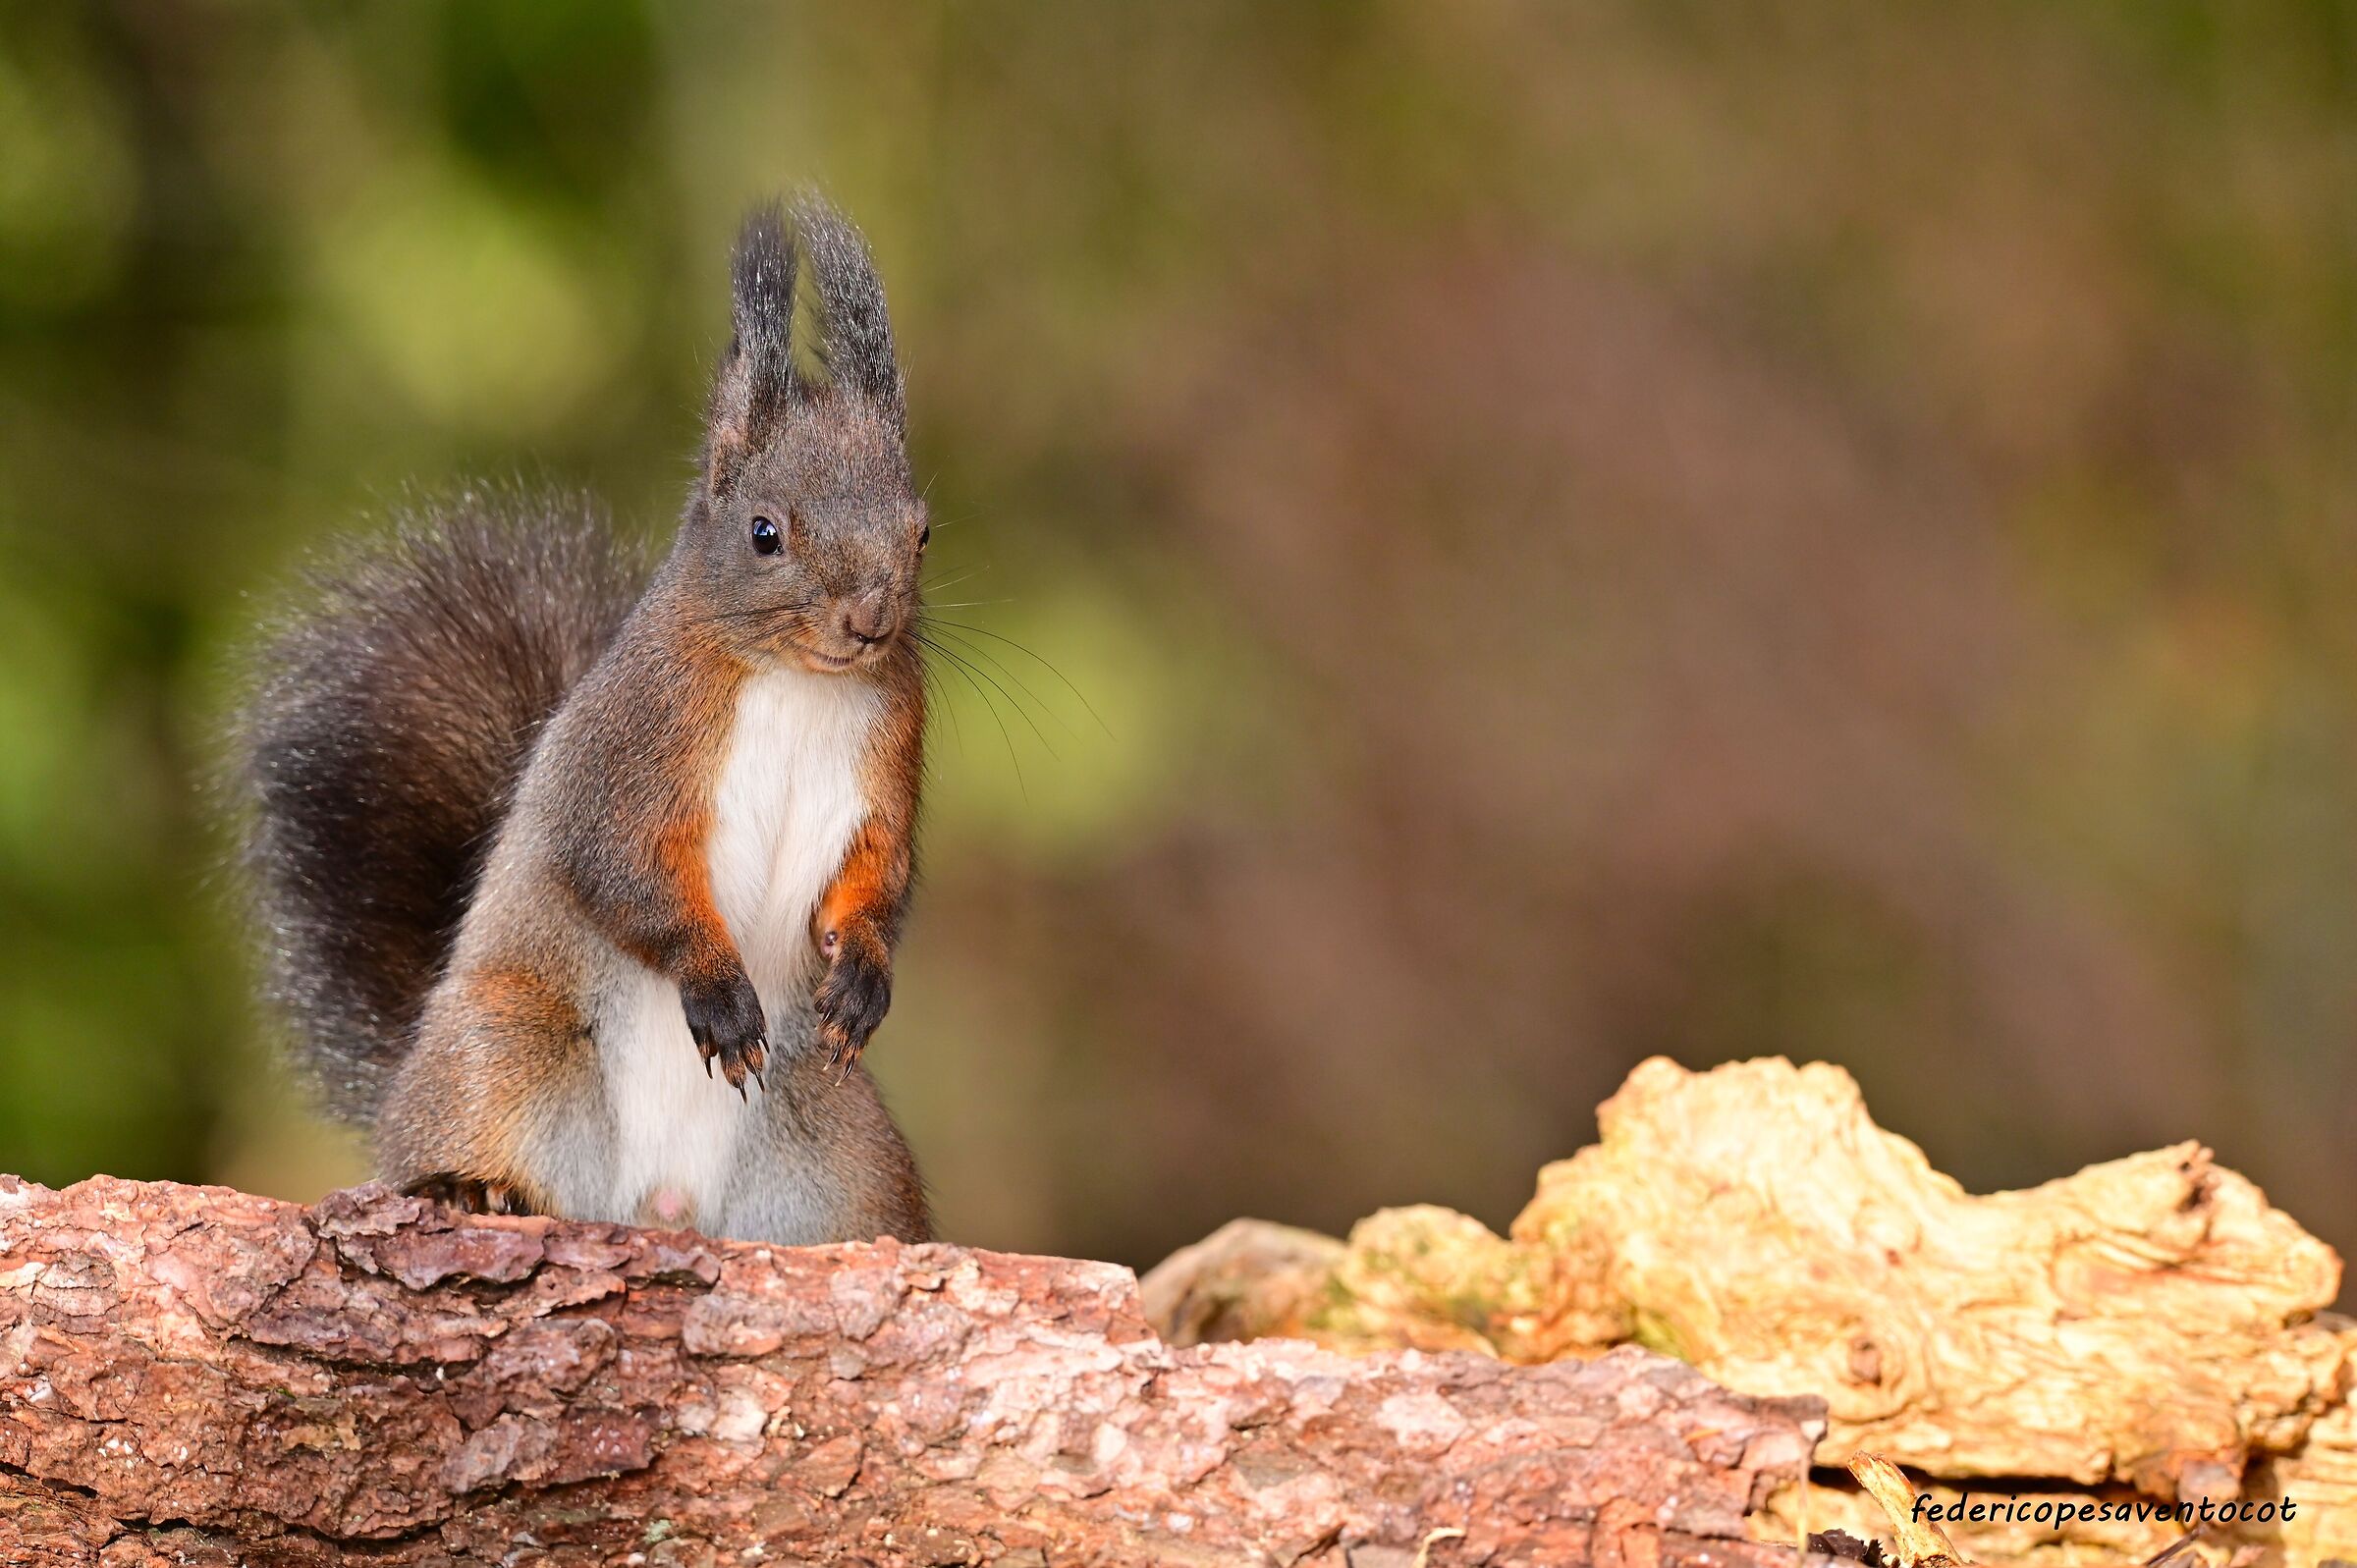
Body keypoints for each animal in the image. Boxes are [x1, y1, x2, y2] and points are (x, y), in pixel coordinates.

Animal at [235, 197, 932, 1245]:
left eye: (921, 531)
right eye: (765, 532)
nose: (871, 619)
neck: (799, 684)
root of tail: (659, 1201)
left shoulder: (890, 759)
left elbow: (878, 873)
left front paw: (864, 974)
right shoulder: (628, 748)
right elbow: (624, 868)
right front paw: (716, 986)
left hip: (840, 1140)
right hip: (506, 1054)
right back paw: (470, 1188)